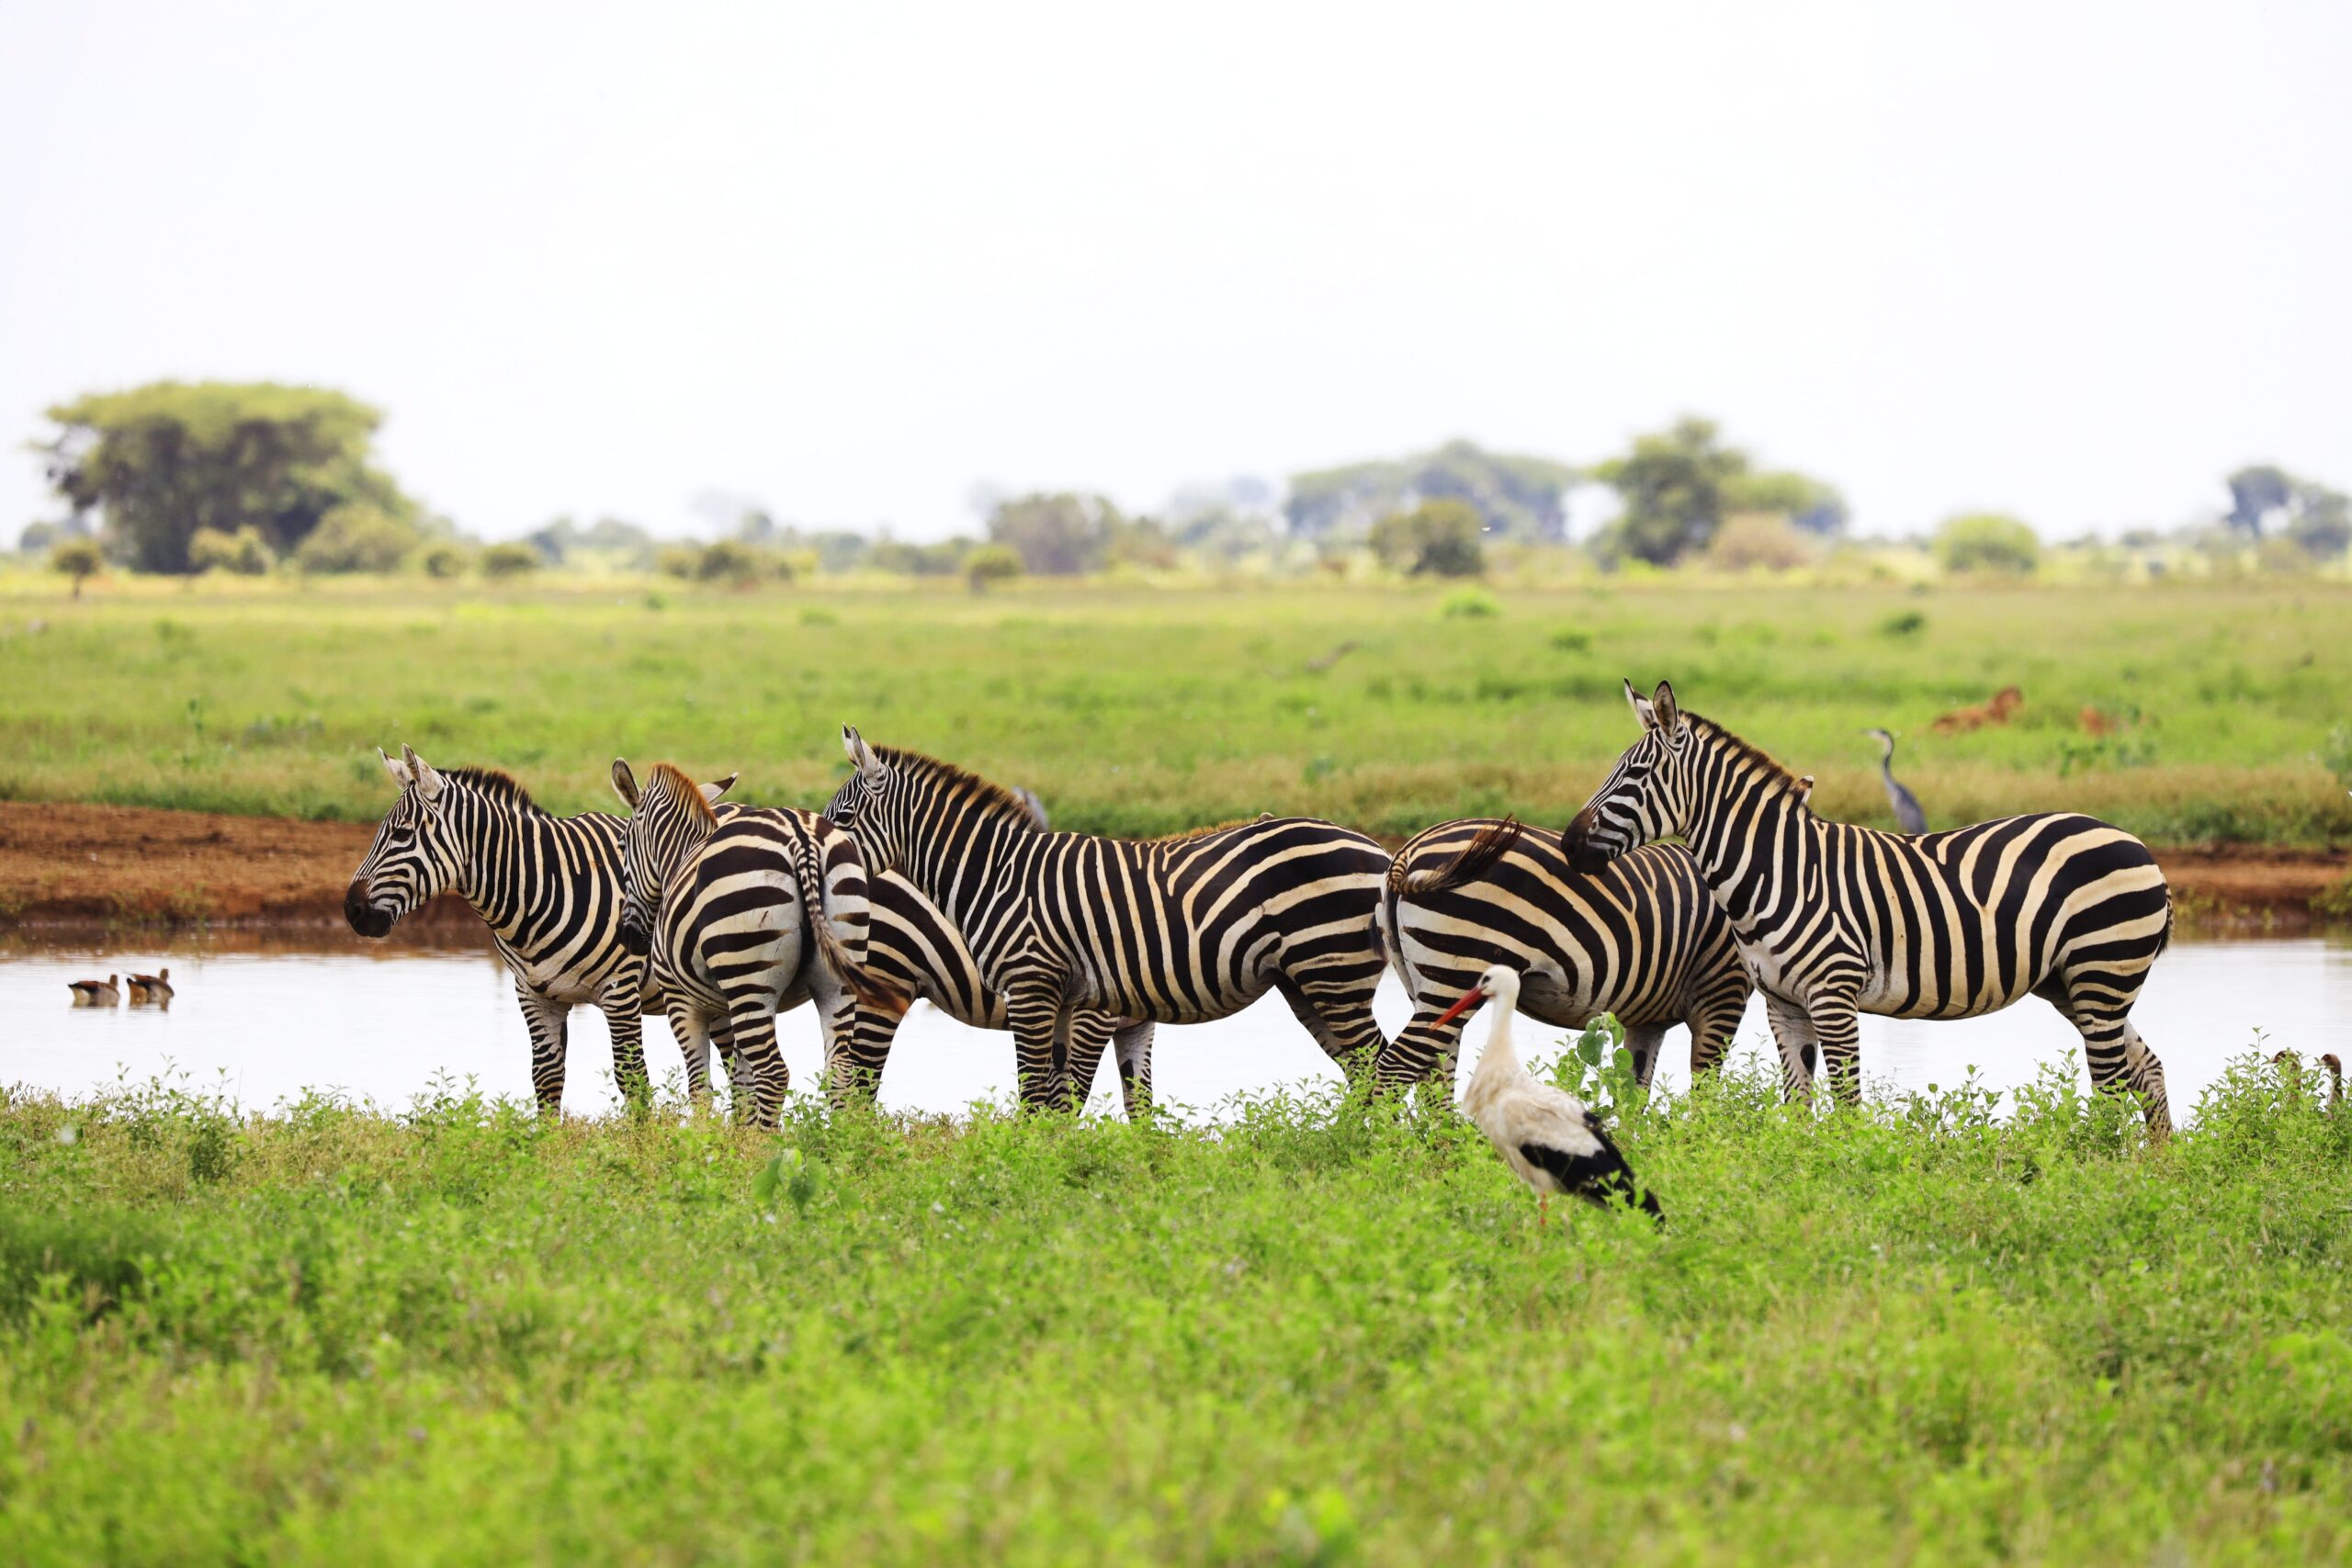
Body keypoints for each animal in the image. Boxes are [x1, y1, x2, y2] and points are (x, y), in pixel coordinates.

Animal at [348, 745, 706, 1110]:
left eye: (402, 834)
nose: (352, 910)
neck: (545, 890)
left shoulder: (620, 991)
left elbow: (633, 1079)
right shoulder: (534, 995)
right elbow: (546, 1080)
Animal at [823, 728, 1393, 1108]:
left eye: (844, 818)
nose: (821, 856)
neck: (997, 873)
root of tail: (1380, 852)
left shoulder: (1045, 992)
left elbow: (1049, 1099)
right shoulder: (1076, 1003)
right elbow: (1083, 1103)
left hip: (1331, 972)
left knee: (1379, 1064)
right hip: (1310, 982)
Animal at [1374, 818, 1753, 1094]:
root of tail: (1411, 848)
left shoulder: (1649, 1019)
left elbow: (1633, 1092)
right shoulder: (1722, 990)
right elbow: (1705, 1089)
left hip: (1423, 984)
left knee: (1435, 1070)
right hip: (1457, 972)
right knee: (1398, 1065)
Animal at [1561, 680, 2176, 1135]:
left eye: (1636, 775)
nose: (1568, 845)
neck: (1778, 871)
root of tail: (2137, 844)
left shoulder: (1834, 995)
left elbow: (1848, 1107)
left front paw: (1851, 1178)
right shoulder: (1783, 1004)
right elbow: (1799, 1106)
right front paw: (1799, 1179)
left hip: (2102, 971)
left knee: (2112, 1084)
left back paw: (2100, 1169)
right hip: (2074, 984)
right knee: (2146, 1068)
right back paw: (2155, 1171)